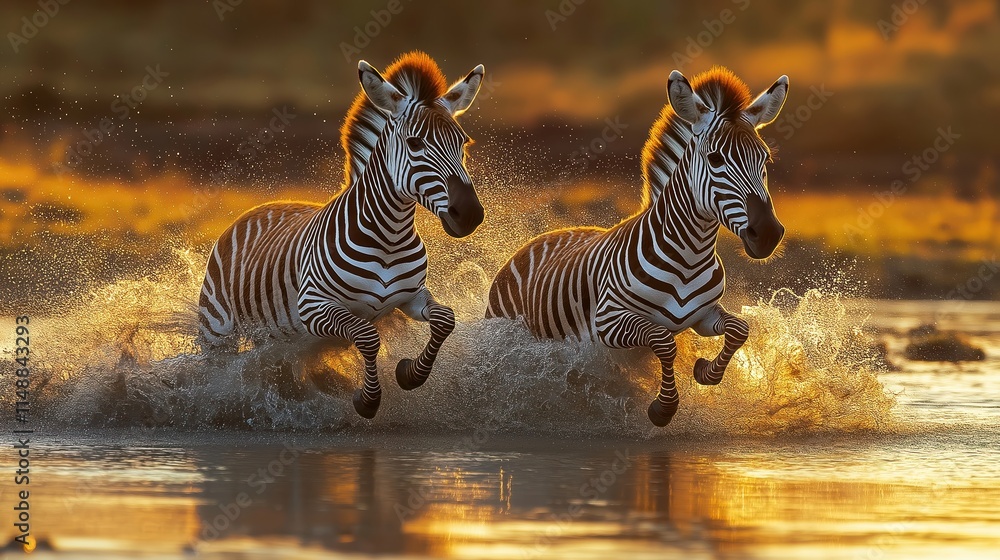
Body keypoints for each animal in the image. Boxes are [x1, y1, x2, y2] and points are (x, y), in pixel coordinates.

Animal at [198, 52, 485, 419]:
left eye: (462, 142)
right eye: (415, 143)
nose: (471, 214)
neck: (389, 238)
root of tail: (258, 207)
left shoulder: (411, 297)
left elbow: (445, 320)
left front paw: (410, 374)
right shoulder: (313, 305)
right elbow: (367, 336)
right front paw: (367, 400)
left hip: (273, 338)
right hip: (217, 332)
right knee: (216, 372)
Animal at [487, 67, 788, 427]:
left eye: (765, 158)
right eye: (715, 159)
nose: (768, 233)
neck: (689, 256)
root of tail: (539, 238)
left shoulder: (703, 315)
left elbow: (739, 328)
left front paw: (706, 372)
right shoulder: (608, 319)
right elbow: (664, 341)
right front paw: (663, 408)